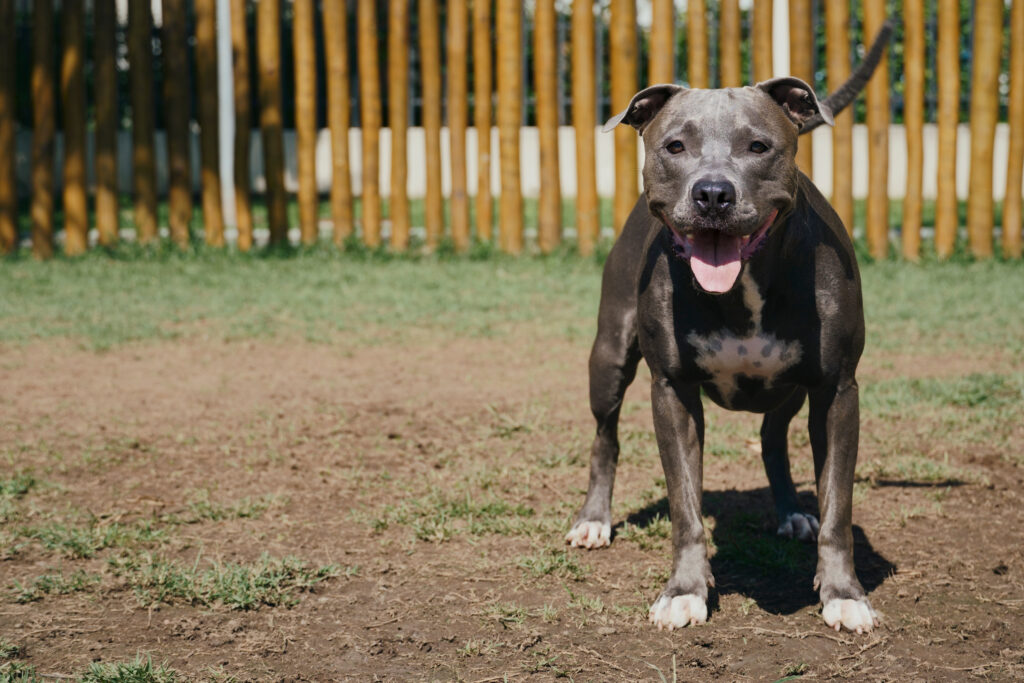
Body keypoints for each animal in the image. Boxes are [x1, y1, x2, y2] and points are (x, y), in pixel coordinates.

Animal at [565, 26, 892, 634]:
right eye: (675, 146)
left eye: (758, 146)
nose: (713, 193)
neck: (744, 288)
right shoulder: (672, 391)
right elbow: (685, 507)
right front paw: (685, 592)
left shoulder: (836, 391)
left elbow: (838, 505)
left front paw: (843, 594)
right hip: (609, 355)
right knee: (605, 437)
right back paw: (593, 519)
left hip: (790, 391)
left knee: (772, 439)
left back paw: (792, 512)